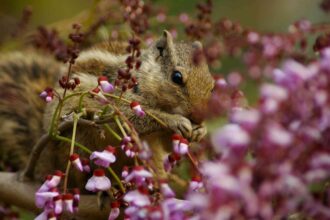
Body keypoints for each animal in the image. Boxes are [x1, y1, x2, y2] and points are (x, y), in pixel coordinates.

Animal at [0, 31, 214, 192]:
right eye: (176, 77)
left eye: (212, 86)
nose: (199, 116)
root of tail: (47, 160)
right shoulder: (122, 103)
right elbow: (137, 119)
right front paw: (175, 120)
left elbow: (168, 145)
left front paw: (200, 131)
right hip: (77, 147)